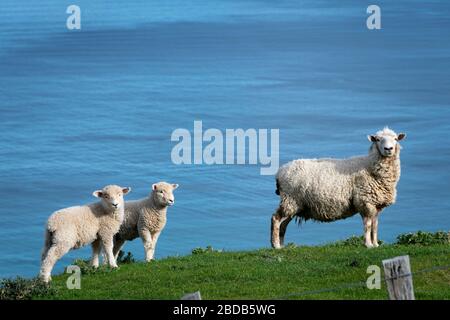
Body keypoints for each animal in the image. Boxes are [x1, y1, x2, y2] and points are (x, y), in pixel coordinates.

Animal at [270, 127, 408, 250]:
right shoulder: (365, 202)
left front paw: (376, 245)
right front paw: (368, 245)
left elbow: (375, 226)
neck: (370, 167)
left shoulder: (376, 205)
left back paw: (282, 245)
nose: (388, 149)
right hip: (290, 199)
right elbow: (368, 225)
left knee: (283, 224)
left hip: (294, 203)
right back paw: (276, 245)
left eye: (396, 139)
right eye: (378, 140)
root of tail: (280, 172)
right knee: (276, 219)